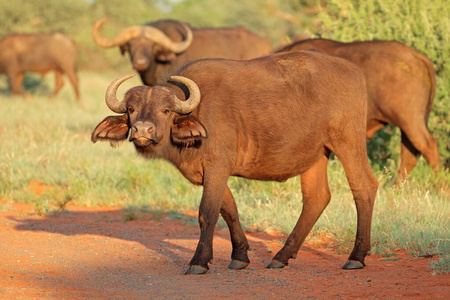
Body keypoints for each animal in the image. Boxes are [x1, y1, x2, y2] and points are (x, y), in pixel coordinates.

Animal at [93, 51, 378, 274]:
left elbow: (207, 213)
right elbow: (229, 211)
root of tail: (355, 72)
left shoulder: (217, 167)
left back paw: (356, 257)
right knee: (316, 198)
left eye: (166, 110)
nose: (142, 130)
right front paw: (240, 256)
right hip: (316, 155)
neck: (198, 112)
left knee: (364, 186)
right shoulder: (210, 173)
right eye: (131, 110)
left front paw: (199, 261)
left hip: (347, 142)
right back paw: (281, 256)